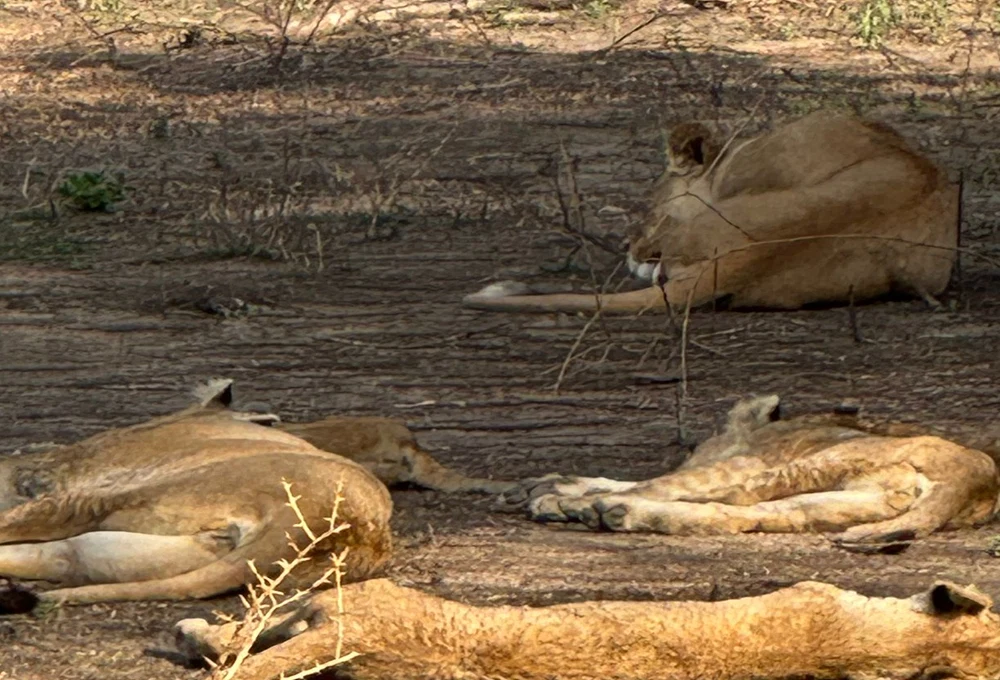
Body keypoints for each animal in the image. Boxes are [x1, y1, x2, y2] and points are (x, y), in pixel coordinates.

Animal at [500, 395, 999, 551]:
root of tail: (979, 479)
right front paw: (547, 483)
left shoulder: (732, 458)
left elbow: (651, 479)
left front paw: (554, 492)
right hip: (832, 502)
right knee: (738, 515)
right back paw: (612, 511)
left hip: (794, 468)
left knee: (717, 497)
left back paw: (586, 509)